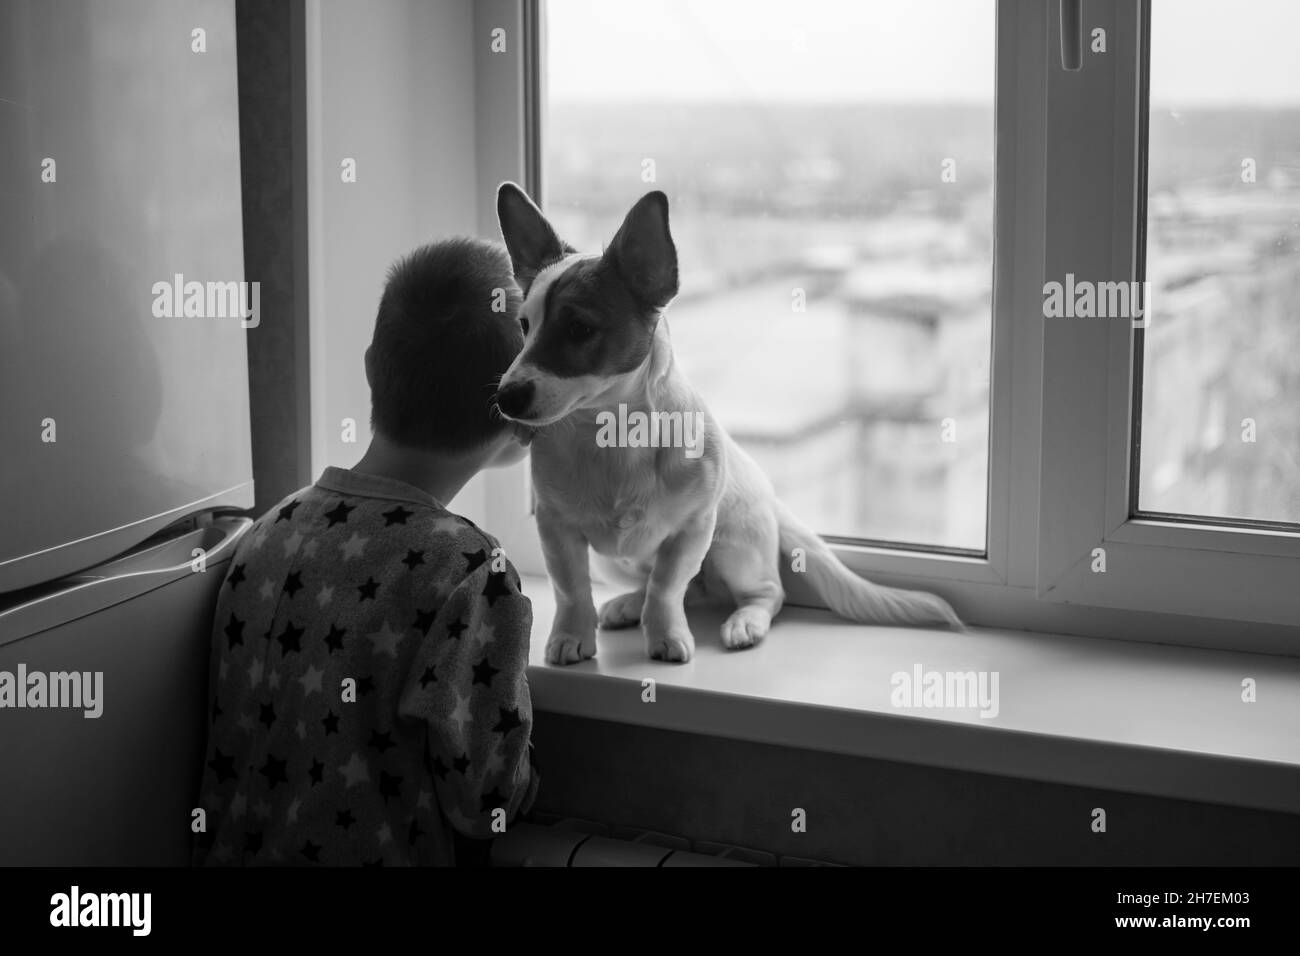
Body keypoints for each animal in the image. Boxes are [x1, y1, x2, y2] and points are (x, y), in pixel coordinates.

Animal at [491, 180, 961, 665]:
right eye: (524, 325)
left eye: (579, 329)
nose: (505, 396)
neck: (610, 435)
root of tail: (773, 503)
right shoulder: (557, 529)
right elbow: (572, 589)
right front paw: (572, 634)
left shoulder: (691, 532)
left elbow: (667, 587)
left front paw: (665, 634)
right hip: (612, 561)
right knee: (680, 590)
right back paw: (628, 604)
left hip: (732, 548)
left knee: (762, 593)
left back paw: (744, 622)